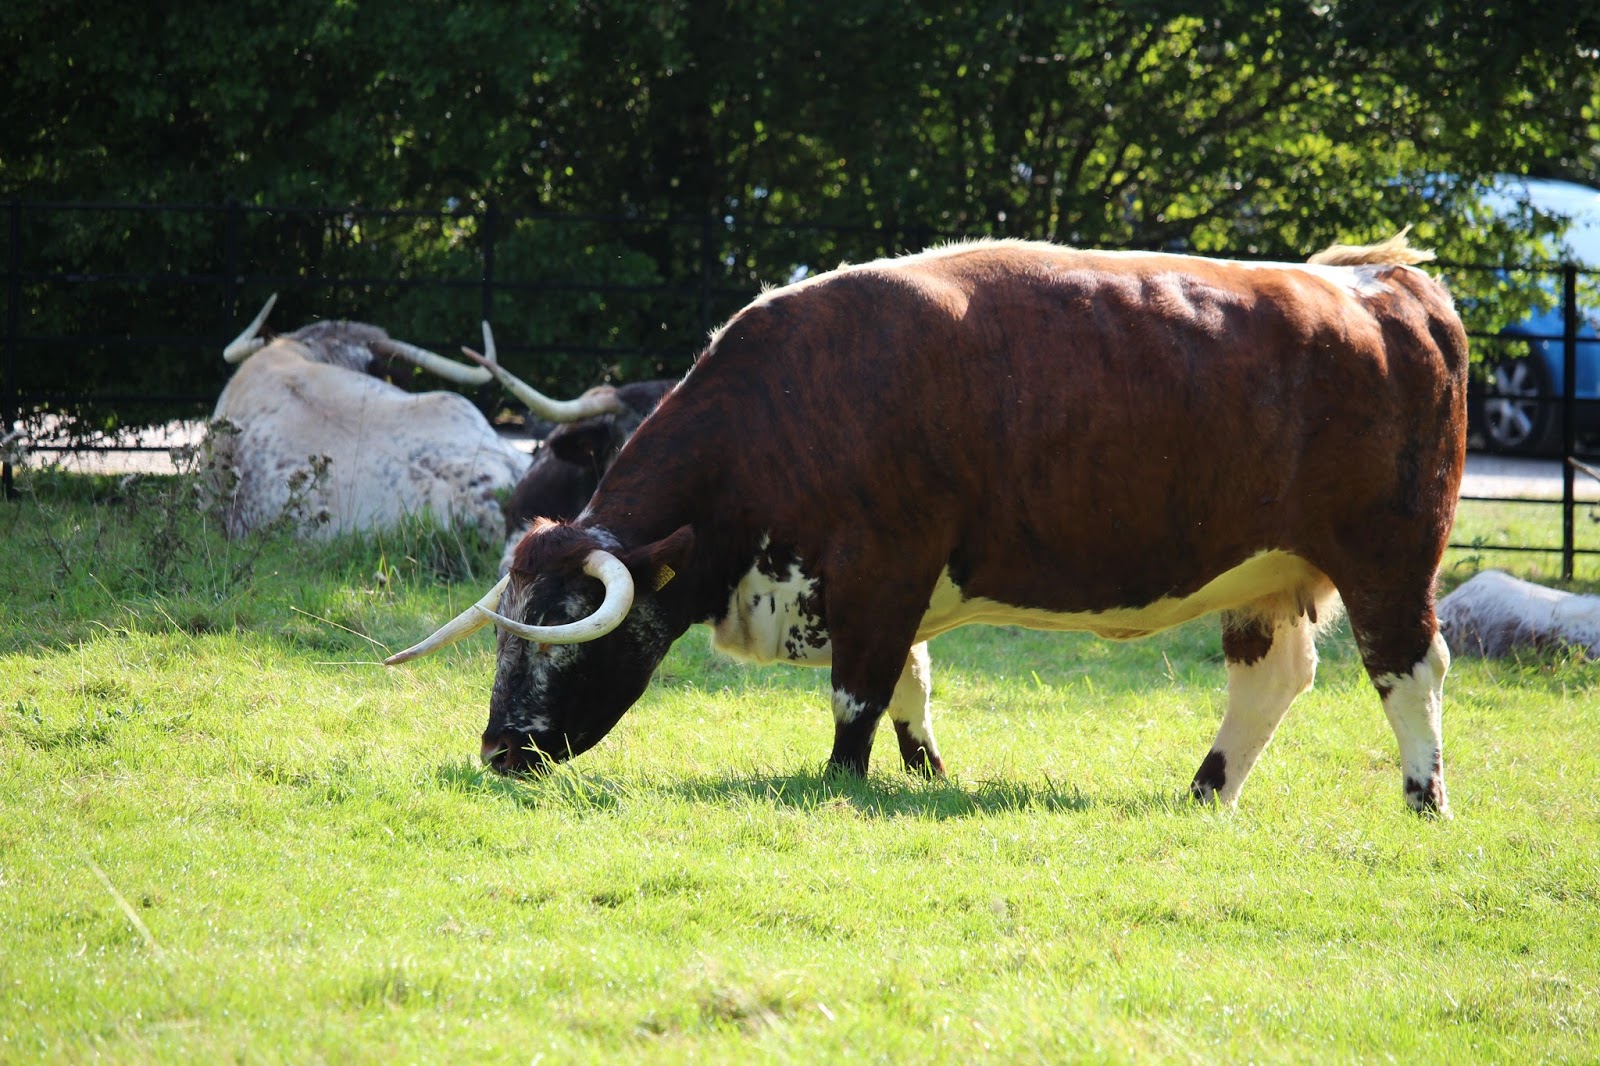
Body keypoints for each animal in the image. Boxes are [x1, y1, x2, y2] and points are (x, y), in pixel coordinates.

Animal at [385, 233, 1469, 816]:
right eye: (506, 640)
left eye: (563, 641)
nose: (500, 750)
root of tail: (1375, 281)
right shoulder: (887, 586)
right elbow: (910, 681)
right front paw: (928, 774)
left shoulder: (882, 567)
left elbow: (857, 693)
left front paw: (840, 781)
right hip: (1265, 575)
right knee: (1270, 679)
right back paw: (1205, 793)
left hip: (1387, 559)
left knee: (1407, 669)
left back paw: (1423, 799)